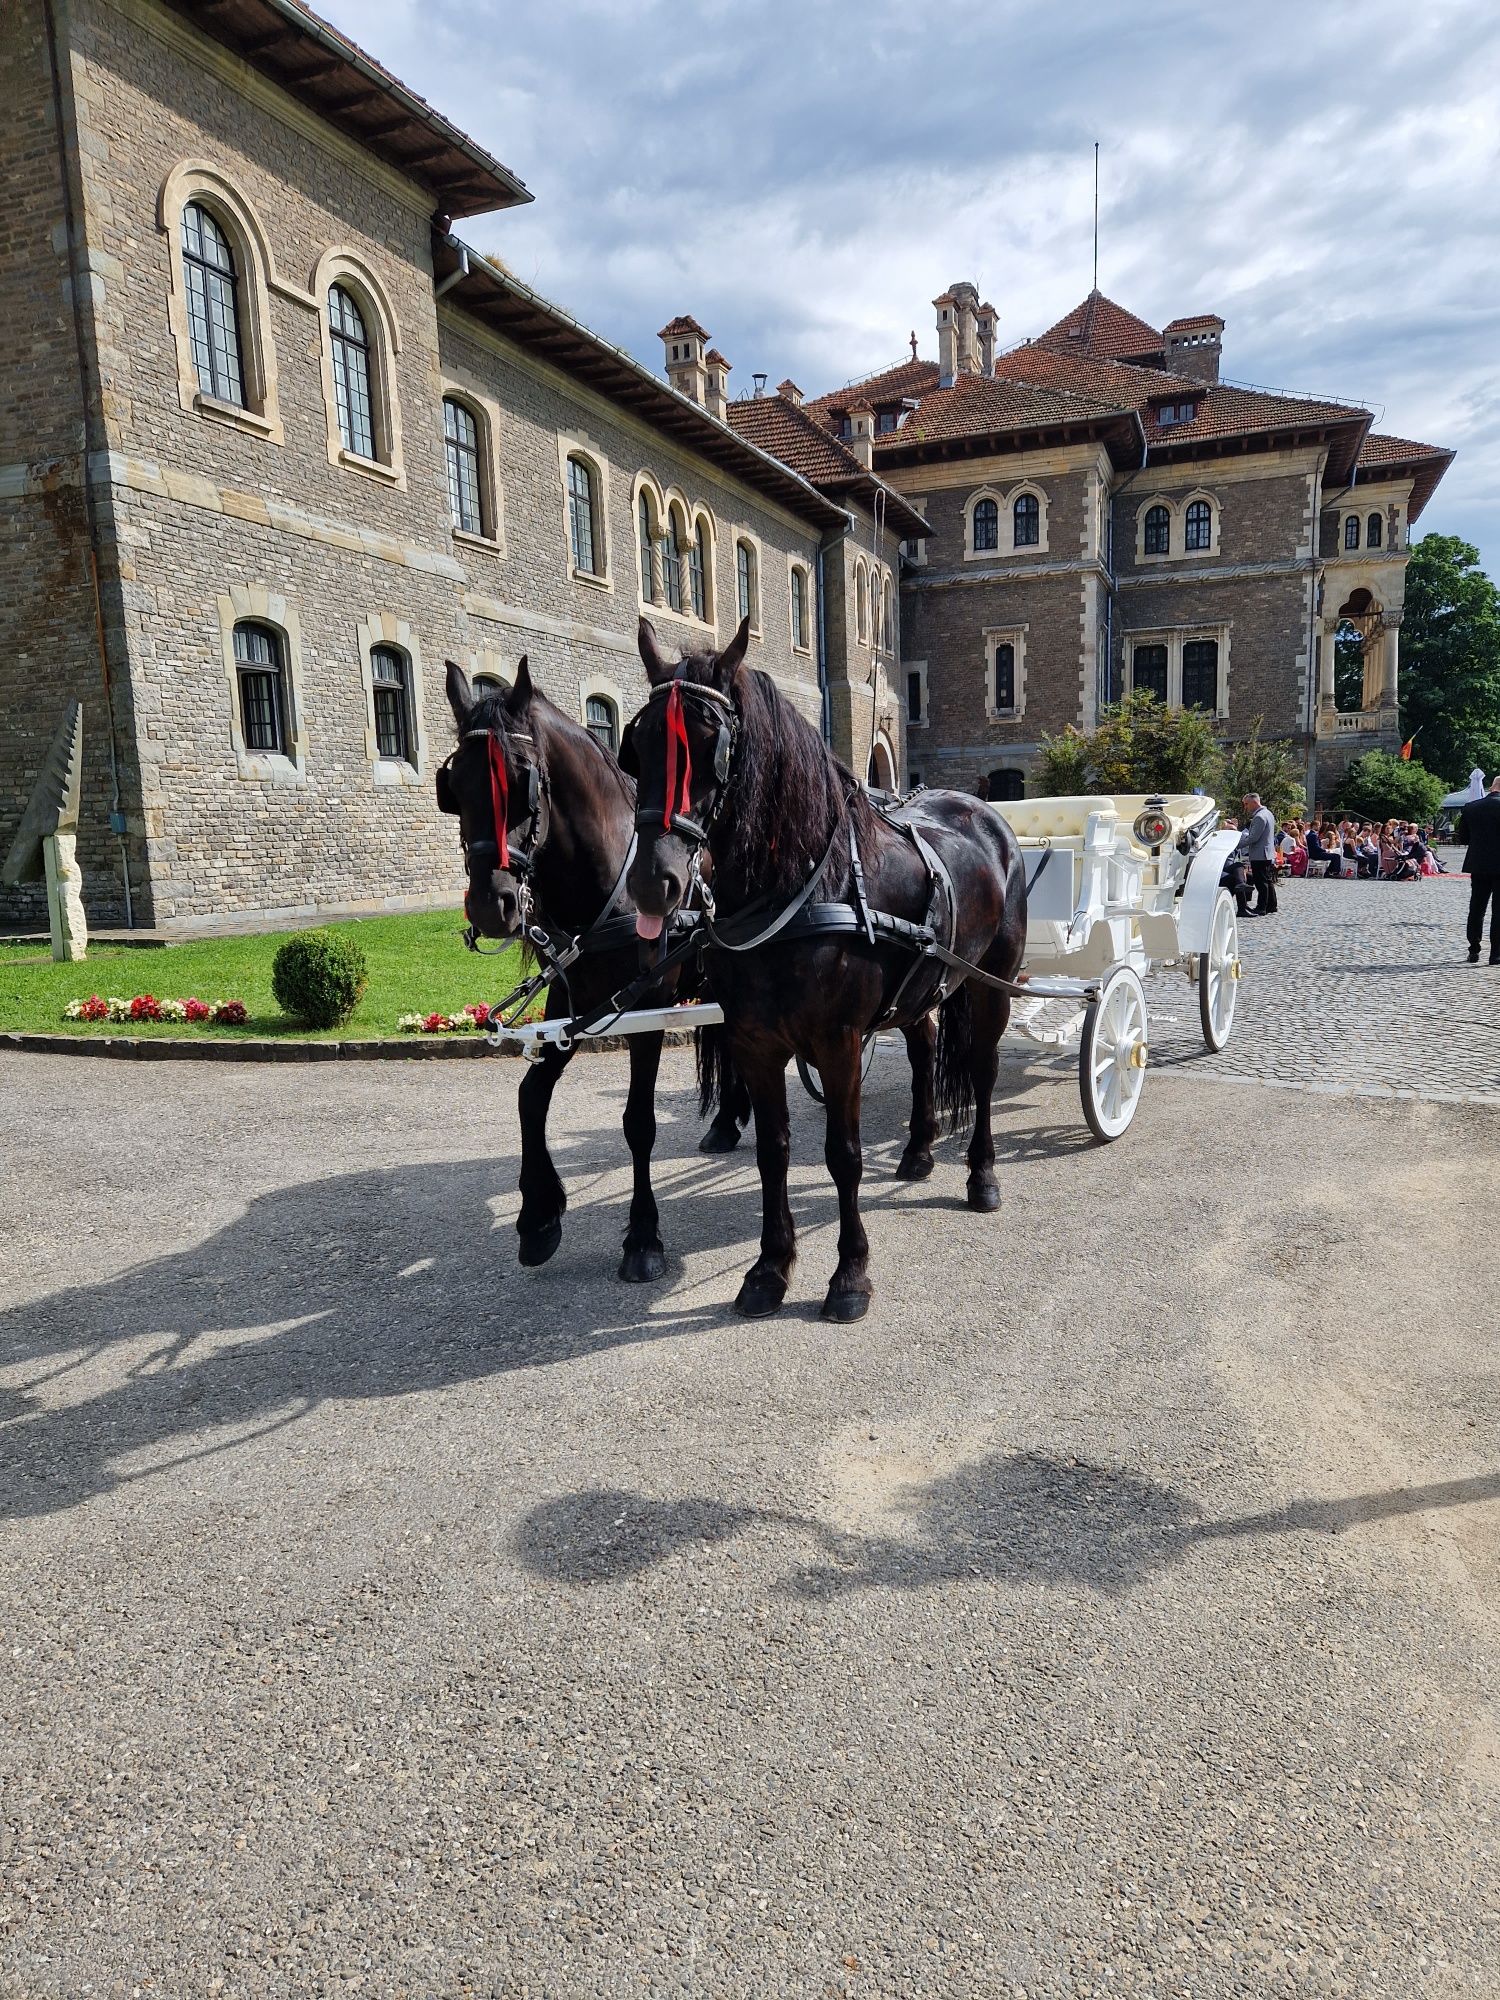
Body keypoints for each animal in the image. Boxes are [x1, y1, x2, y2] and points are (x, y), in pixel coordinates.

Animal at [440, 656, 752, 1280]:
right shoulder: (572, 1003)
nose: (491, 905)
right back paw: (728, 1121)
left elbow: (638, 1122)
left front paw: (643, 1237)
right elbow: (531, 1095)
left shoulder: (645, 1006)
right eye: (454, 787)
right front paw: (538, 1217)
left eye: (521, 780)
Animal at [624, 616, 1032, 1320]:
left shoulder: (838, 1044)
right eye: (638, 747)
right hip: (922, 988)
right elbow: (772, 1151)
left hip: (989, 985)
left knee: (981, 1070)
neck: (801, 890)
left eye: (709, 745)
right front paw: (769, 1268)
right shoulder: (754, 1043)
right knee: (925, 1050)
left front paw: (850, 1274)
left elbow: (843, 1156)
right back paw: (920, 1148)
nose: (655, 882)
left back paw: (981, 1174)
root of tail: (981, 810)